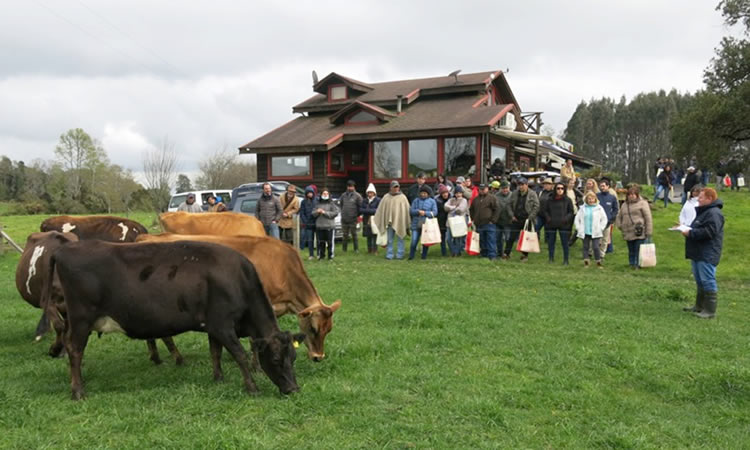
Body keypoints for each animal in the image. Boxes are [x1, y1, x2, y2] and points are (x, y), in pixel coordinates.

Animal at [46, 241, 306, 400]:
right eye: (275, 359)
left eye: (293, 357)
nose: (294, 389)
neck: (238, 280)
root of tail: (65, 249)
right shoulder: (223, 325)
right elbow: (240, 355)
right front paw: (252, 387)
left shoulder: (213, 326)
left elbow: (215, 352)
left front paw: (218, 379)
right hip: (81, 319)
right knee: (75, 350)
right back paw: (78, 391)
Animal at [137, 234, 342, 360]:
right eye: (314, 329)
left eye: (329, 330)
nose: (318, 357)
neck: (282, 267)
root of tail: (147, 237)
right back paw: (176, 358)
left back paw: (156, 357)